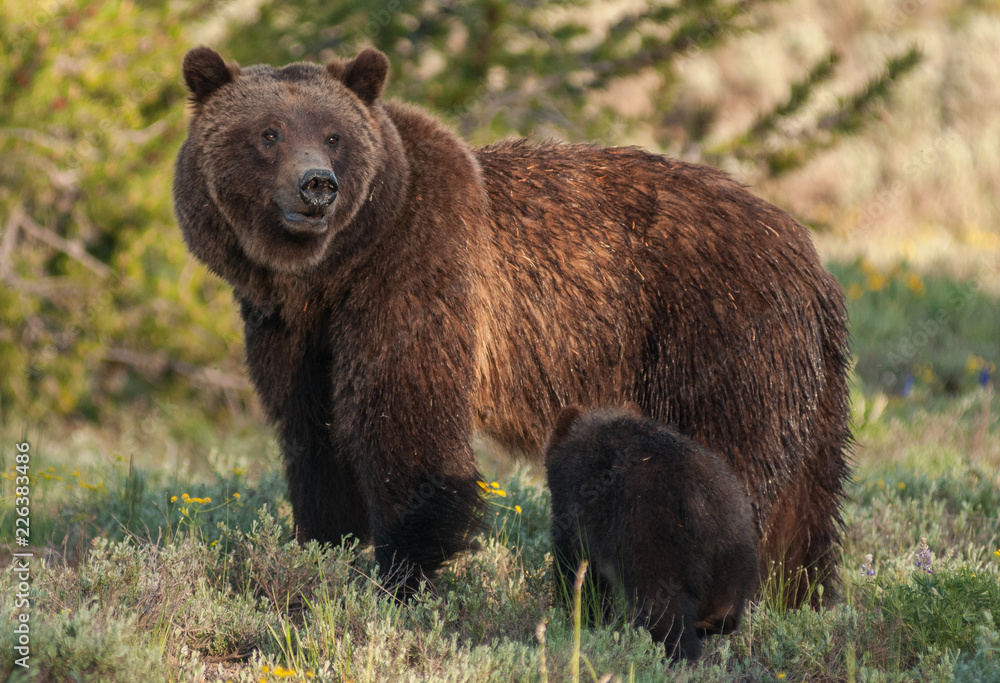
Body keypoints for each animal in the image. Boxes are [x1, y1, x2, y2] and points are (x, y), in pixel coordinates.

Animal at [173, 45, 851, 602]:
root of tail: (811, 259)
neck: (330, 271)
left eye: (335, 135)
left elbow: (406, 419)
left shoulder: (416, 268)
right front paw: (323, 542)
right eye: (268, 132)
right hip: (806, 385)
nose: (317, 186)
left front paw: (402, 569)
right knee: (806, 502)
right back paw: (796, 594)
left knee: (724, 461)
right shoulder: (288, 326)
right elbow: (311, 432)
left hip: (718, 334)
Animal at [544, 404, 759, 660]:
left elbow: (577, 569)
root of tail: (701, 501)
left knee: (664, 610)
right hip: (734, 545)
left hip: (653, 541)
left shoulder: (575, 508)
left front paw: (580, 617)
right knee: (725, 605)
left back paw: (674, 653)